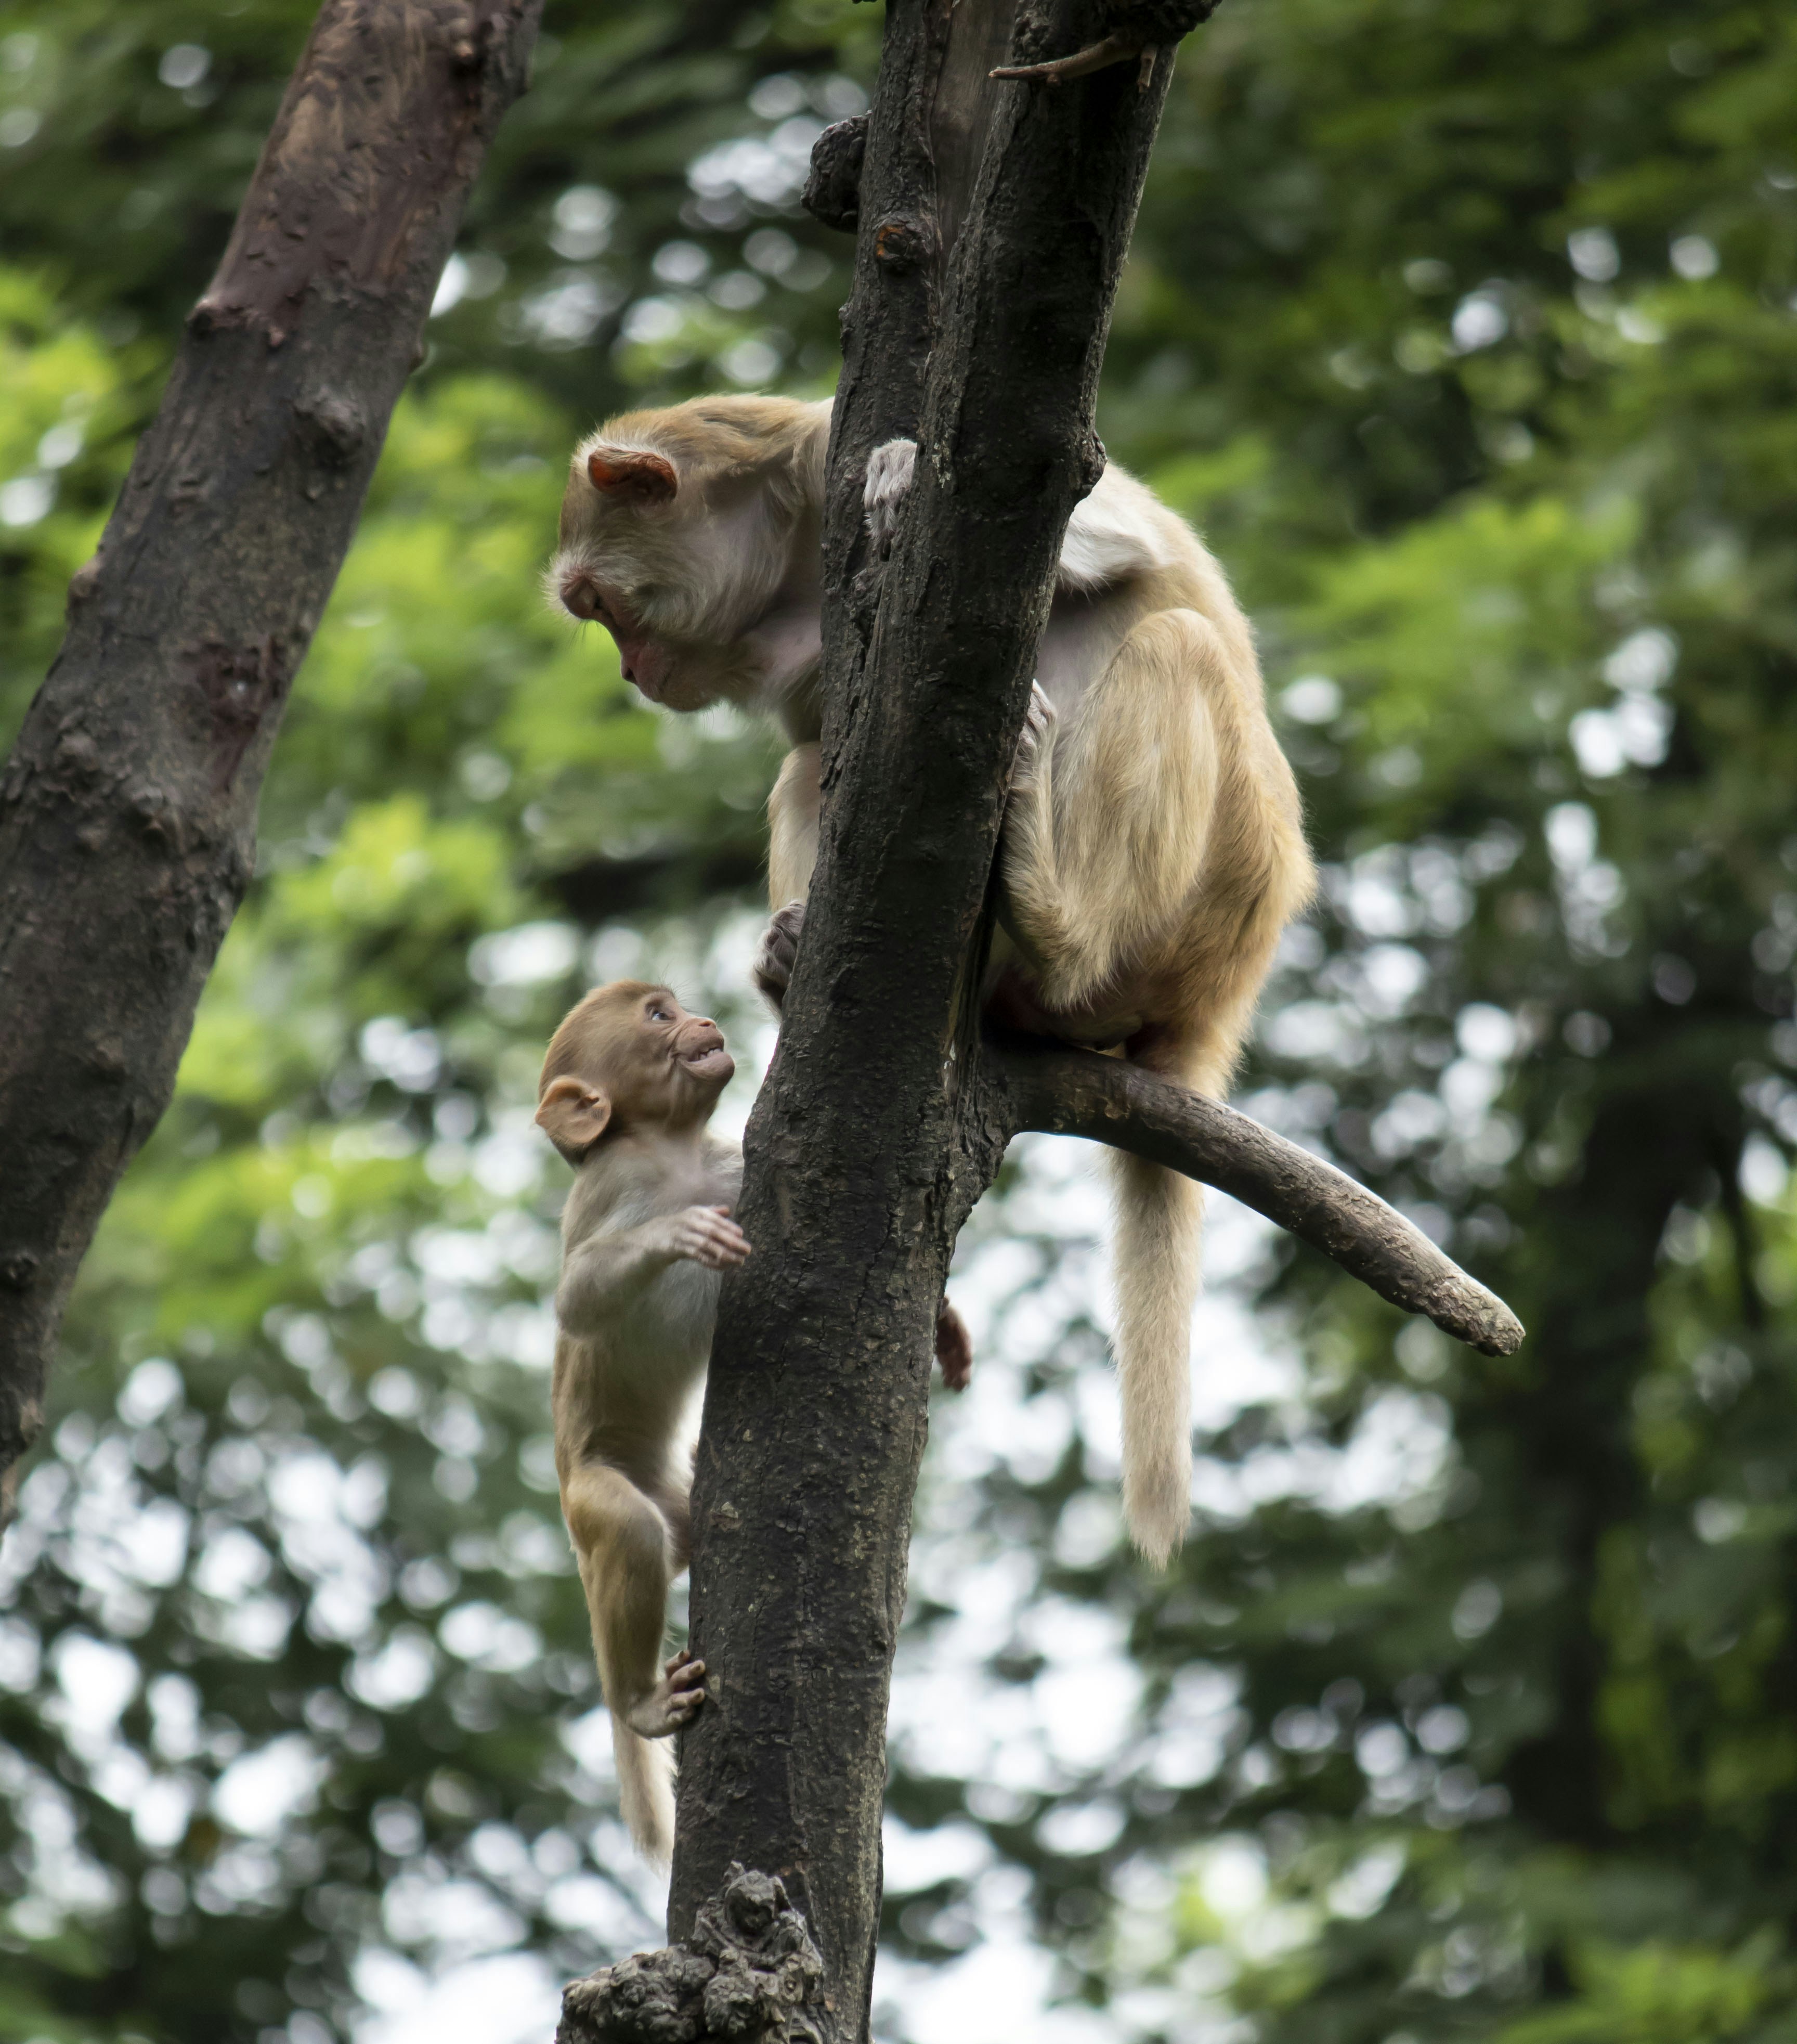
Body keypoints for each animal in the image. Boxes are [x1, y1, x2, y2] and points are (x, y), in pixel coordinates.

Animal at [537, 978, 974, 1860]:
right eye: (657, 1016)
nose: (703, 1017)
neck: (672, 1151)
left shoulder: (729, 1162)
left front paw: (947, 1324)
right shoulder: (609, 1184)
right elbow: (578, 1299)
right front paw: (675, 1233)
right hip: (590, 1491)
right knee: (627, 1530)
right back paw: (638, 1700)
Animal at [547, 396, 1314, 1569]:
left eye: (599, 604)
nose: (630, 672)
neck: (786, 565)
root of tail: (1221, 994)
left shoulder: (822, 443)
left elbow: (1116, 537)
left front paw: (908, 477)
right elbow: (820, 741)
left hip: (1208, 900)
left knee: (1175, 649)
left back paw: (1056, 935)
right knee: (809, 765)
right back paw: (800, 970)